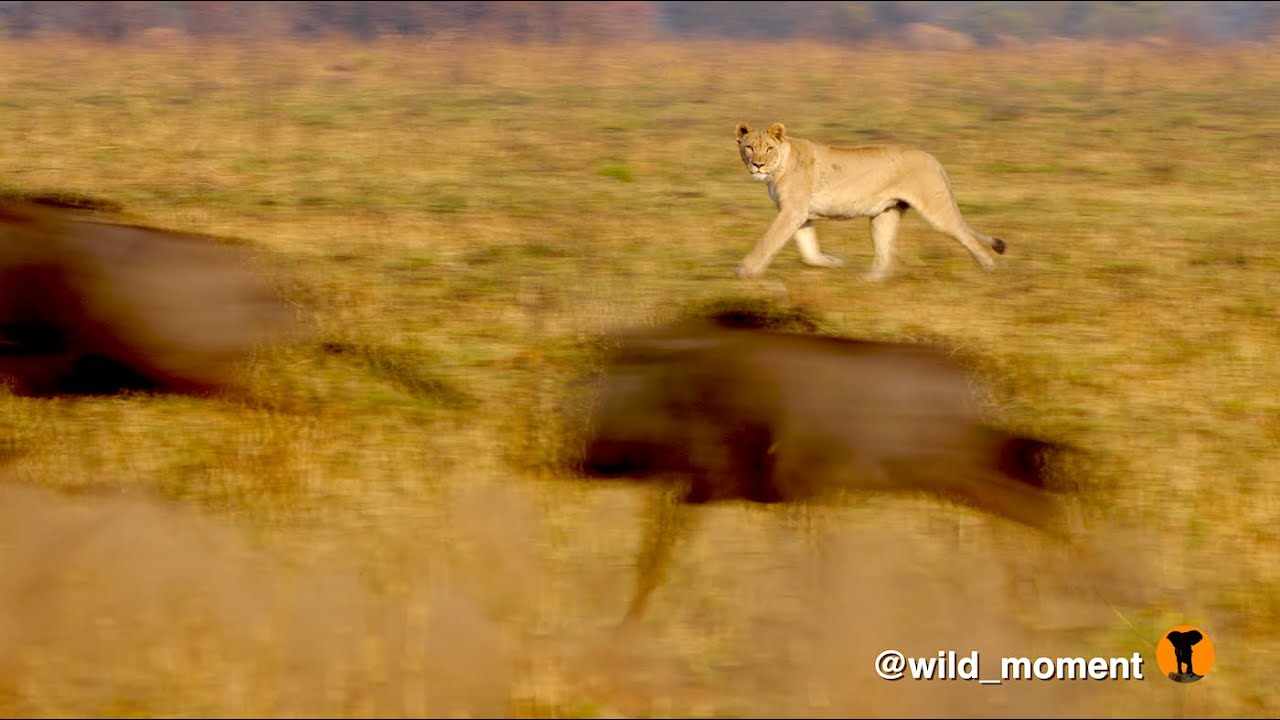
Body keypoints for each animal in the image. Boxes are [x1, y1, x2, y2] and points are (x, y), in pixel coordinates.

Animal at [734, 122, 1007, 281]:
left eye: (768, 148)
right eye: (749, 147)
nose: (757, 165)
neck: (777, 168)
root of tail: (933, 159)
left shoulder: (792, 211)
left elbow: (768, 240)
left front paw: (747, 270)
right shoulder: (800, 214)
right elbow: (809, 250)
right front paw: (833, 262)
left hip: (936, 209)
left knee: (965, 234)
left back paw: (990, 267)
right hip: (884, 215)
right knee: (885, 256)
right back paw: (869, 279)